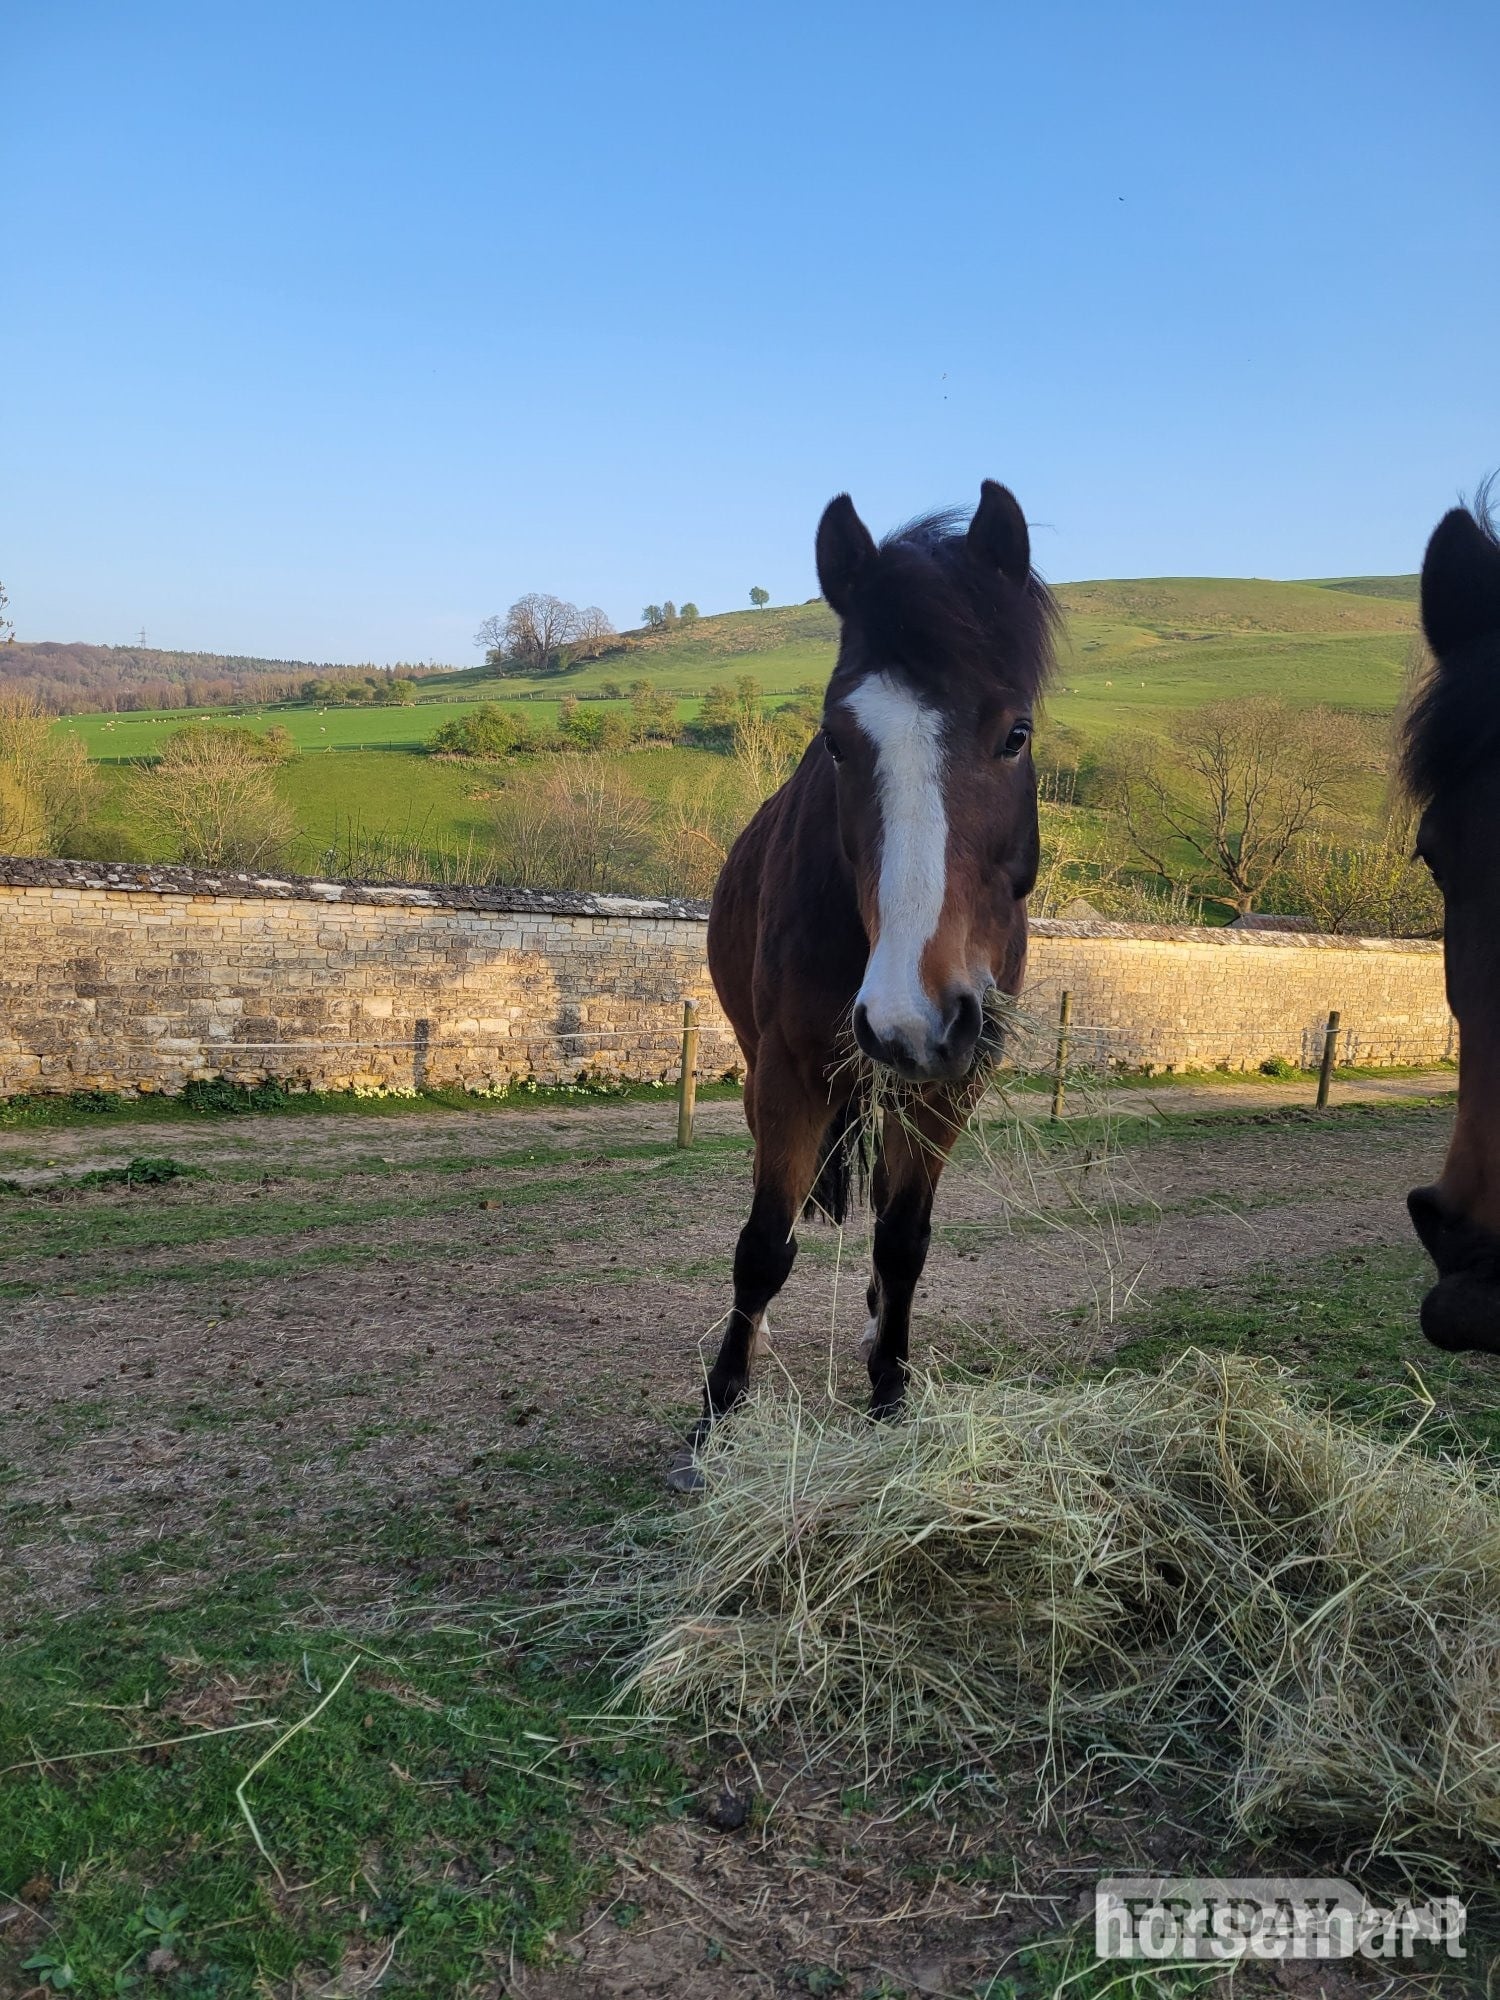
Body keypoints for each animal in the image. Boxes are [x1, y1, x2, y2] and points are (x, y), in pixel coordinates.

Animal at [670, 482, 1057, 1487]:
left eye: (1016, 733)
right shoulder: (790, 1074)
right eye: (837, 743)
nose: (908, 1018)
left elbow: (905, 1237)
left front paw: (890, 1389)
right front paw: (719, 1412)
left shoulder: (953, 1081)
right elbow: (762, 1249)